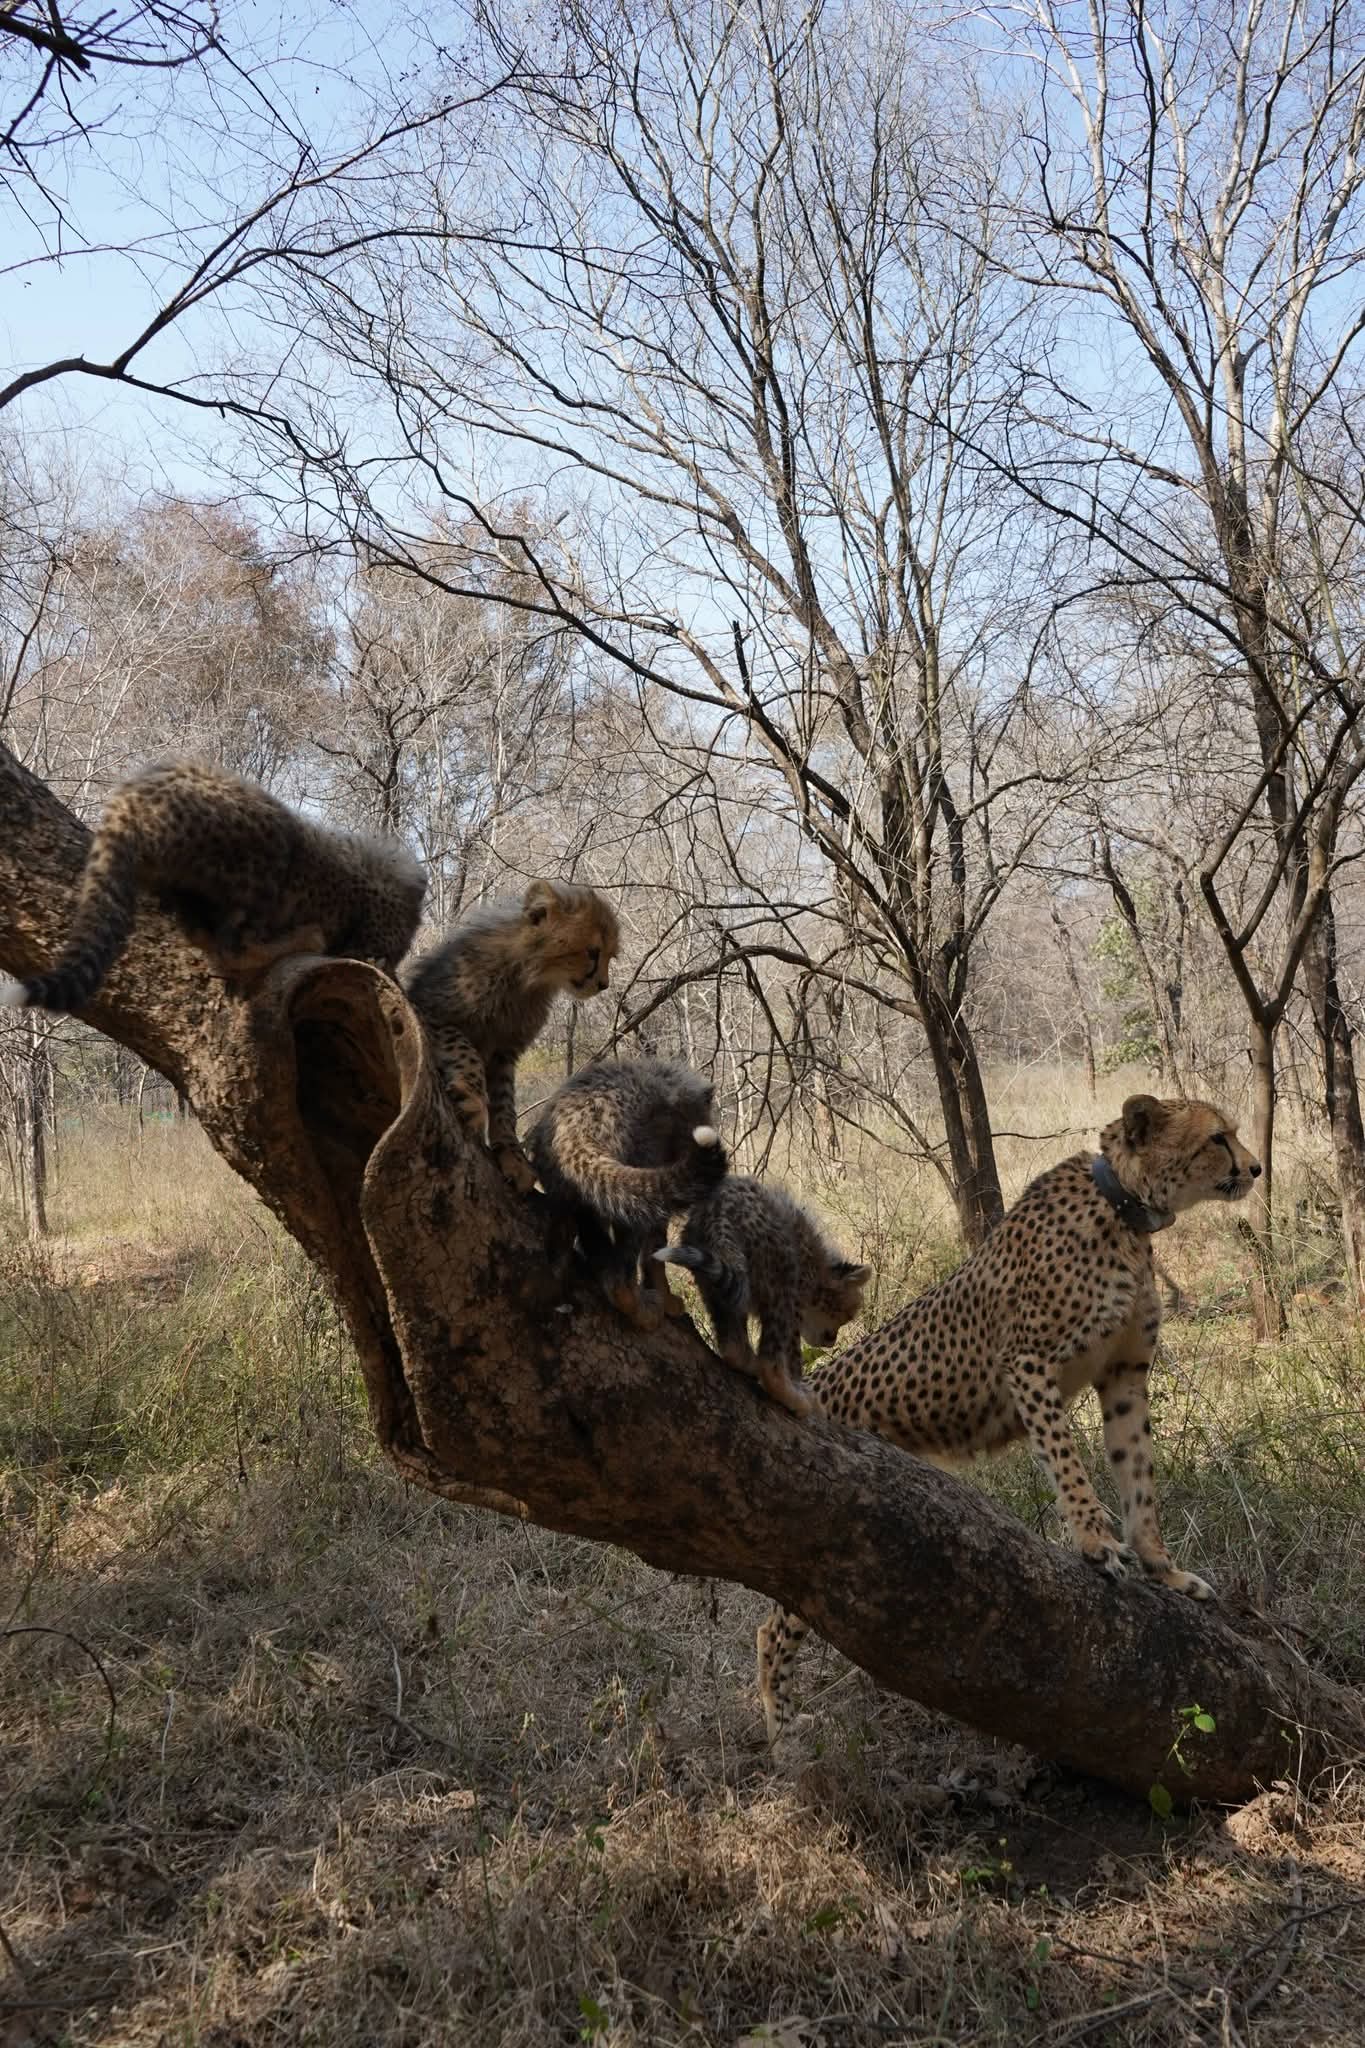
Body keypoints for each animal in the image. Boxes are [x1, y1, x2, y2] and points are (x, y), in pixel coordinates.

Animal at [403, 881, 619, 1192]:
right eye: (592, 952)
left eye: (609, 956)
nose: (604, 984)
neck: (525, 977)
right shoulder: (430, 1012)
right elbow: (465, 1051)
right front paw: (472, 1097)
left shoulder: (505, 1053)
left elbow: (506, 1107)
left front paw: (513, 1157)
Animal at [527, 1056, 728, 1329]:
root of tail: (576, 1130)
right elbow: (654, 1257)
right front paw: (667, 1299)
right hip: (634, 1197)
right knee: (619, 1279)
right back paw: (643, 1309)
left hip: (575, 1198)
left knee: (584, 1247)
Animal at [655, 1177, 872, 1416]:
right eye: (846, 1315)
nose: (831, 1341)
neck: (817, 1267)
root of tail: (718, 1214)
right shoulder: (795, 1302)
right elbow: (793, 1357)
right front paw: (803, 1392)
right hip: (782, 1279)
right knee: (770, 1363)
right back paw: (792, 1397)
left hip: (716, 1286)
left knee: (733, 1347)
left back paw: (749, 1363)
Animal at [755, 1094, 1261, 1746]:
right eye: (1218, 1138)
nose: (1254, 1169)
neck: (1123, 1208)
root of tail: (814, 1385)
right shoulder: (1028, 1364)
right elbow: (1069, 1464)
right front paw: (1096, 1544)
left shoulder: (1125, 1376)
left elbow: (1139, 1481)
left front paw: (1163, 1569)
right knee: (772, 1626)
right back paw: (782, 1727)